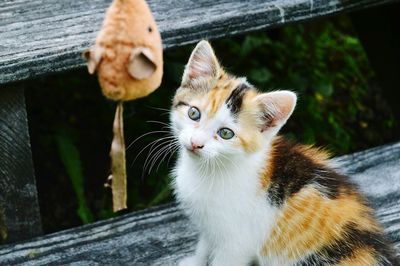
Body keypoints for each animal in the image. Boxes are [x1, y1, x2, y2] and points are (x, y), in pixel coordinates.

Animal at [170, 40, 398, 264]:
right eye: (193, 113)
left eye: (226, 133)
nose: (196, 143)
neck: (209, 168)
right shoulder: (209, 227)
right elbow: (205, 245)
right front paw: (195, 261)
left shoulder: (238, 242)